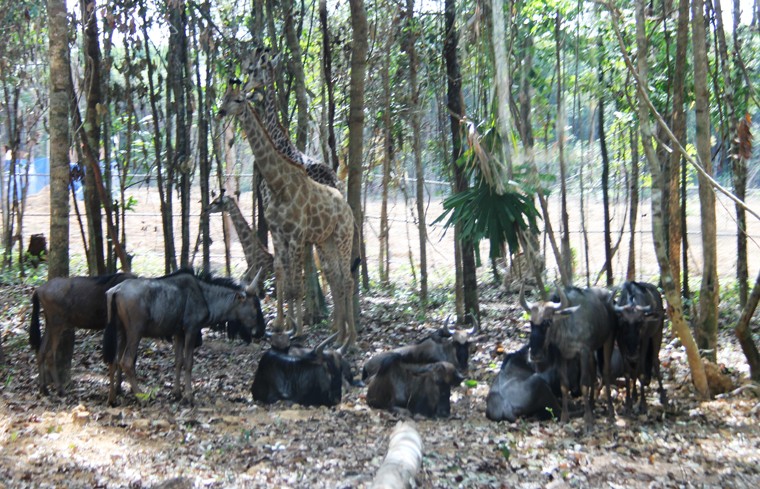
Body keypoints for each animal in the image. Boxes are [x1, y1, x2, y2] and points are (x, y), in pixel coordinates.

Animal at [214, 80, 356, 348]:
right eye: (224, 96)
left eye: (239, 100)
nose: (221, 112)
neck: (279, 184)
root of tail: (347, 207)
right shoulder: (280, 235)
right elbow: (286, 281)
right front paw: (286, 328)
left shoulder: (298, 236)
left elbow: (296, 286)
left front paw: (298, 333)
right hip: (326, 240)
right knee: (337, 277)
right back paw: (339, 337)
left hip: (343, 236)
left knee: (347, 279)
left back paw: (349, 340)